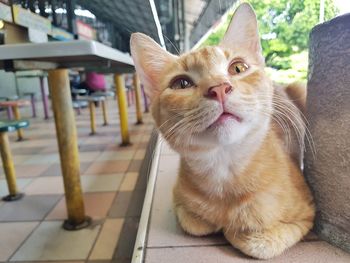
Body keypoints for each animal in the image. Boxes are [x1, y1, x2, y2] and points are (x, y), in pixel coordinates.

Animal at [131, 3, 314, 260]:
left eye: (238, 67)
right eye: (181, 83)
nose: (218, 88)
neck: (224, 169)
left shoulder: (307, 213)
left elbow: (260, 243)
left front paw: (236, 231)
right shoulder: (179, 202)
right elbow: (194, 222)